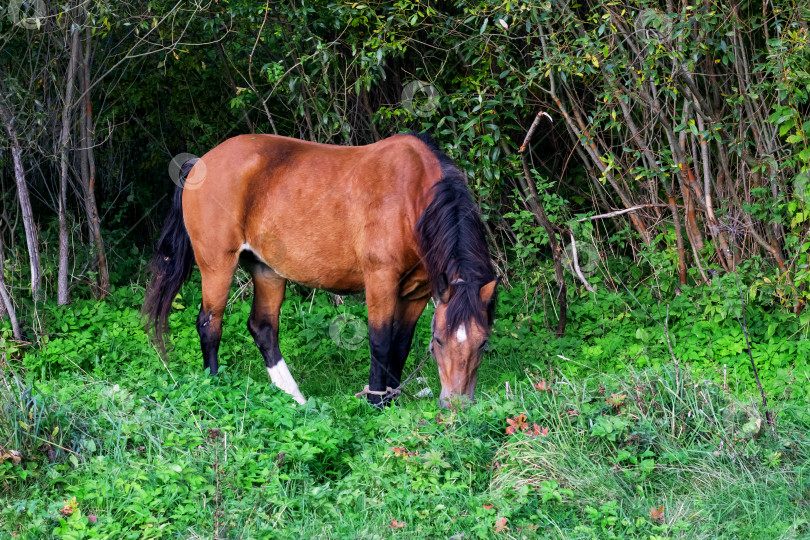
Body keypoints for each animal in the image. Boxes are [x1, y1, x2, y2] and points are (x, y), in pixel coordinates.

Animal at [144, 132, 496, 404]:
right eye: (439, 342)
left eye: (483, 342)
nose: (455, 406)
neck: (413, 198)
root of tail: (199, 164)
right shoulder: (380, 279)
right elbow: (380, 341)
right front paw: (376, 402)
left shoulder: (419, 291)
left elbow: (400, 344)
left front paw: (393, 398)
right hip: (218, 264)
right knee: (209, 325)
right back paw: (216, 387)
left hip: (266, 269)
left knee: (263, 328)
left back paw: (295, 398)